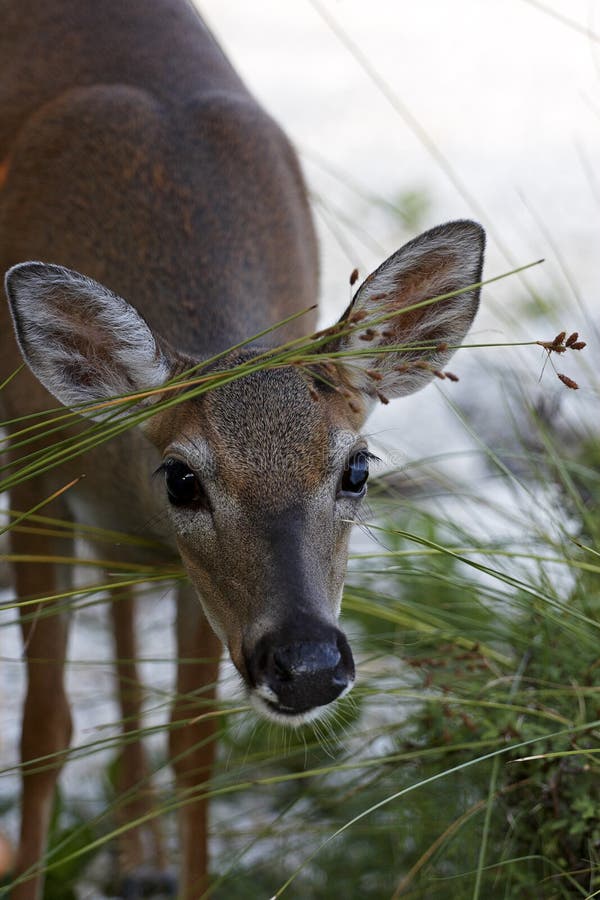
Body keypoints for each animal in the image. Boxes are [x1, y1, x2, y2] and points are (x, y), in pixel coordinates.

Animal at [0, 3, 486, 896]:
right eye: (182, 479)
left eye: (357, 467)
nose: (307, 663)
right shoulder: (33, 469)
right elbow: (43, 731)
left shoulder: (194, 578)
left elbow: (194, 743)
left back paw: (141, 857)